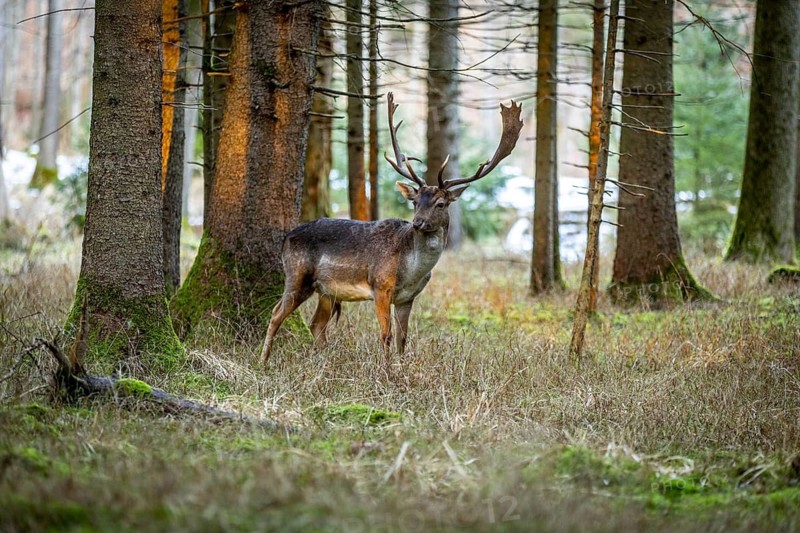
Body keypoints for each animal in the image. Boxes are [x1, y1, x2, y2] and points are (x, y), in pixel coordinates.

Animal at [260, 92, 523, 363]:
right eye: (415, 202)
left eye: (440, 203)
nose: (418, 223)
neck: (411, 271)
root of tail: (287, 237)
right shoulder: (381, 286)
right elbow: (385, 336)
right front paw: (385, 369)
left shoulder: (408, 297)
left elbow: (402, 339)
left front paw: (400, 365)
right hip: (298, 274)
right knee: (276, 314)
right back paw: (263, 360)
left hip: (326, 290)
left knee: (316, 324)